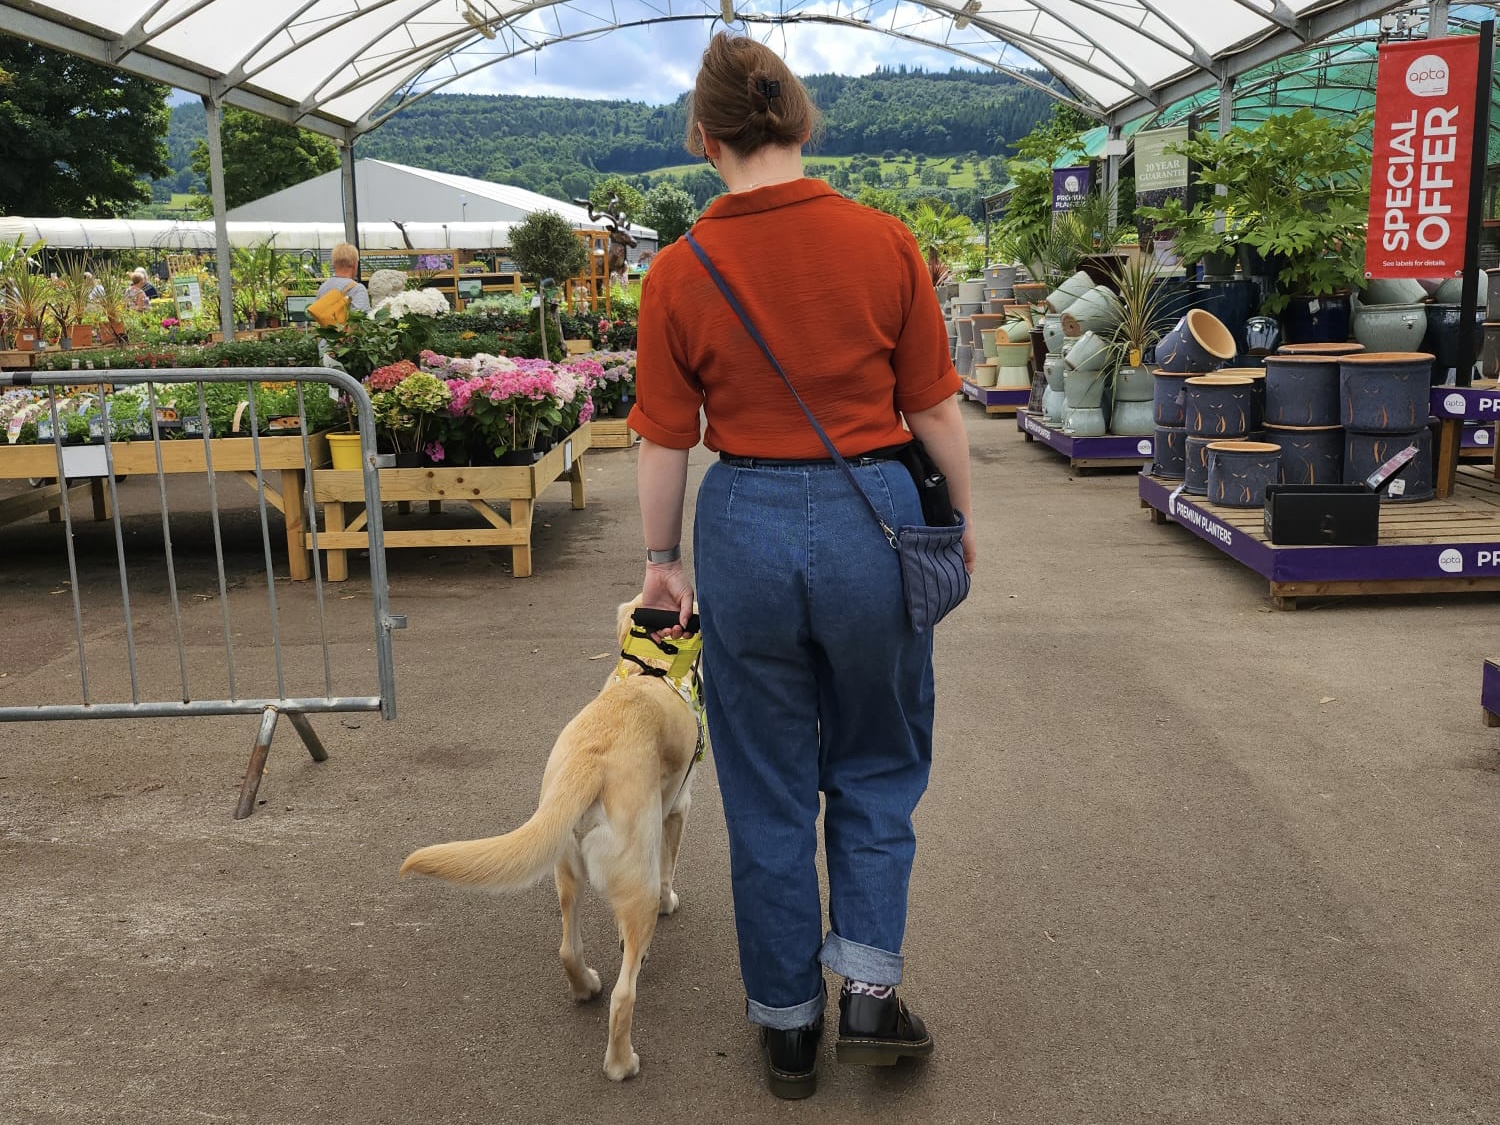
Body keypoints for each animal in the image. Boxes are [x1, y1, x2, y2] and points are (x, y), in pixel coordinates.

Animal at [399, 609, 702, 1086]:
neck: (650, 669)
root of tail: (591, 760)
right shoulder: (678, 809)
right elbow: (670, 869)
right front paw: (671, 902)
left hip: (566, 868)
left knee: (567, 950)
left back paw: (586, 987)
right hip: (638, 885)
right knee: (623, 995)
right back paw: (621, 1064)